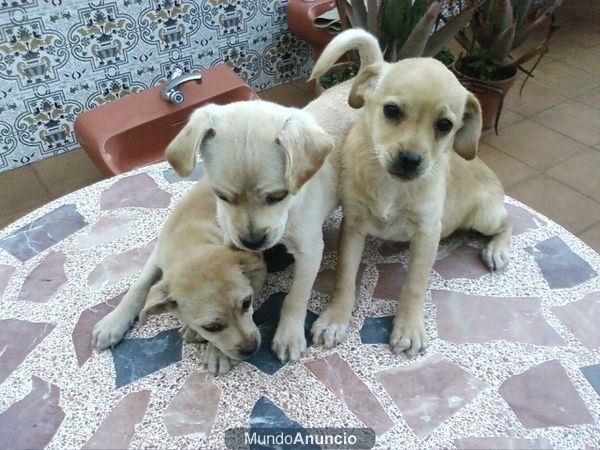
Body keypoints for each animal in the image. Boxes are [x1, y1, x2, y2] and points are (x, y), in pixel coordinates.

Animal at [92, 178, 266, 374]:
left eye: (247, 303)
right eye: (211, 327)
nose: (251, 348)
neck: (190, 238)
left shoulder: (257, 267)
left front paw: (218, 353)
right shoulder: (156, 257)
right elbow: (139, 287)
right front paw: (112, 322)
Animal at [310, 29, 510, 356]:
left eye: (445, 125)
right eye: (391, 111)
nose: (411, 160)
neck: (391, 186)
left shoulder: (427, 232)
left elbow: (414, 285)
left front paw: (408, 328)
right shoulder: (353, 225)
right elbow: (345, 277)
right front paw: (335, 319)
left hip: (485, 217)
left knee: (508, 222)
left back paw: (496, 250)